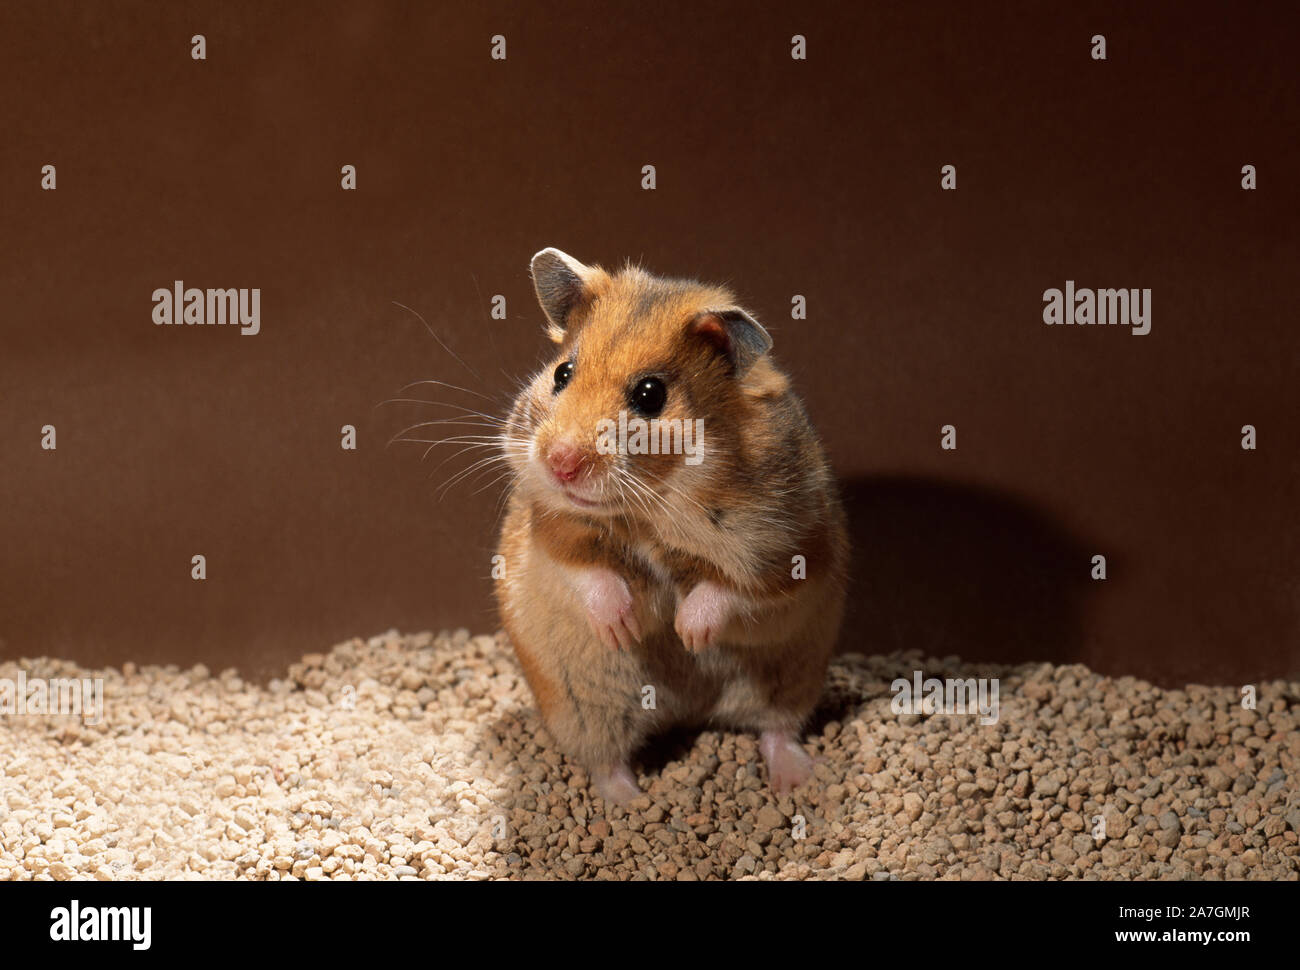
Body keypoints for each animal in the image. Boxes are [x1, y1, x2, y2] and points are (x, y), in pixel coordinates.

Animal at [495, 247, 848, 804]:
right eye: (562, 373)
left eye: (650, 394)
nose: (560, 463)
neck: (649, 511)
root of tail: (689, 714)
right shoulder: (551, 527)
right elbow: (589, 571)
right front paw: (624, 629)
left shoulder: (794, 550)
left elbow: (730, 591)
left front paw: (687, 635)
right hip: (581, 707)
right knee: (607, 761)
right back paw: (631, 804)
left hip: (793, 678)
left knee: (777, 730)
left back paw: (795, 780)